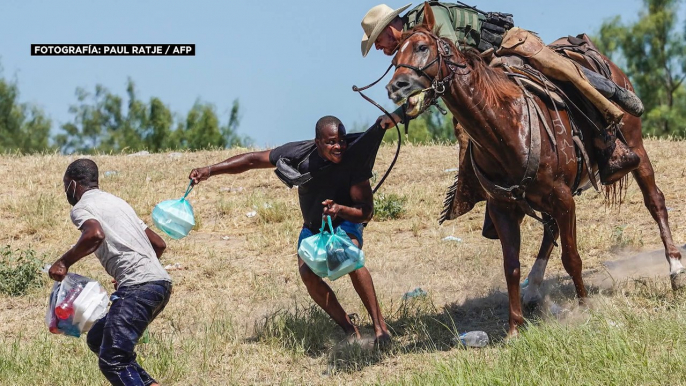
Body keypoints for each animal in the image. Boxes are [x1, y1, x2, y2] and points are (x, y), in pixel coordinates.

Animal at [388, 1, 686, 336]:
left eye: (422, 47)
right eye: (394, 58)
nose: (396, 86)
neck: (506, 125)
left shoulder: (563, 198)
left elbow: (571, 257)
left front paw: (584, 307)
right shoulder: (504, 207)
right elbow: (511, 266)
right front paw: (514, 327)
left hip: (636, 148)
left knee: (655, 201)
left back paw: (675, 268)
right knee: (550, 230)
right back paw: (533, 289)